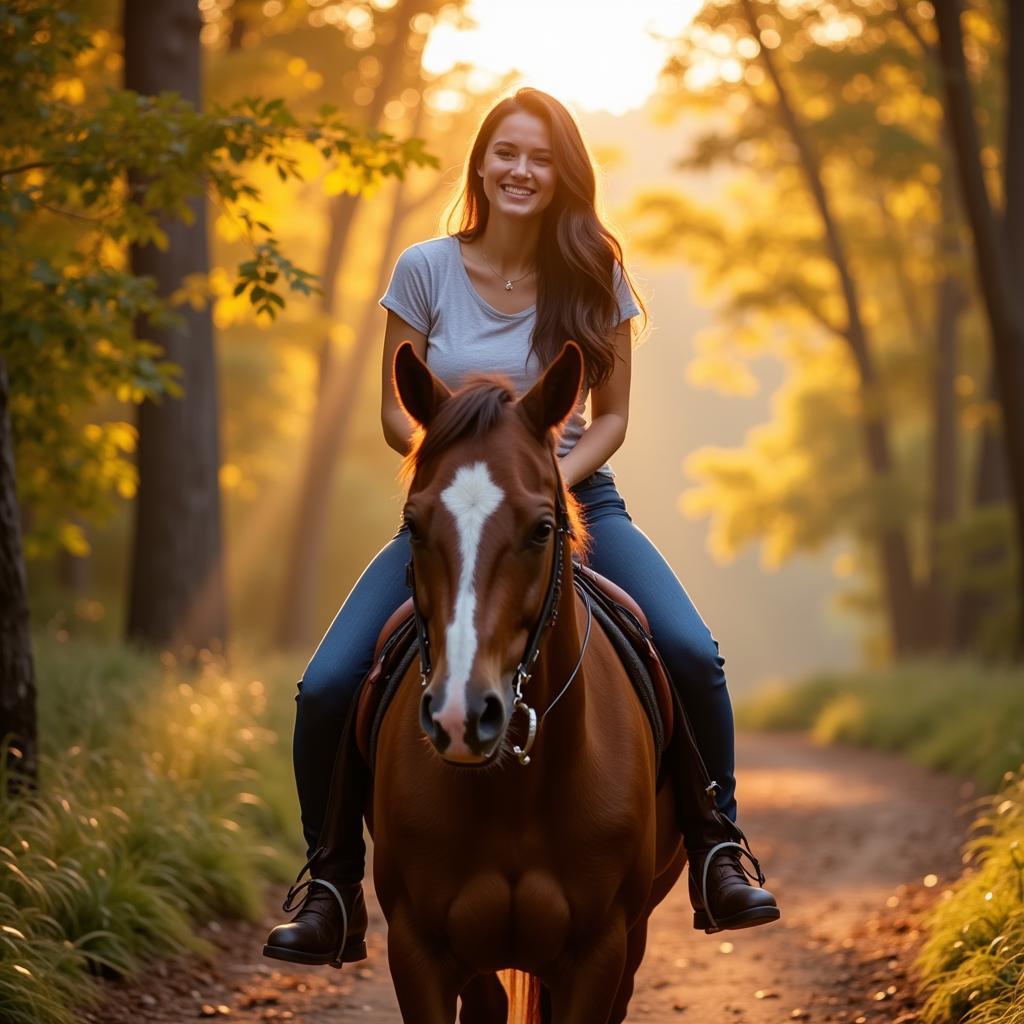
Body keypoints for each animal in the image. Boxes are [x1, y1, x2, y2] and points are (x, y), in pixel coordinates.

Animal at [370, 342, 688, 1024]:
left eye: (543, 528)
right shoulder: (418, 951)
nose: (461, 717)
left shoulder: (600, 955)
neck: (517, 793)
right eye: (413, 523)